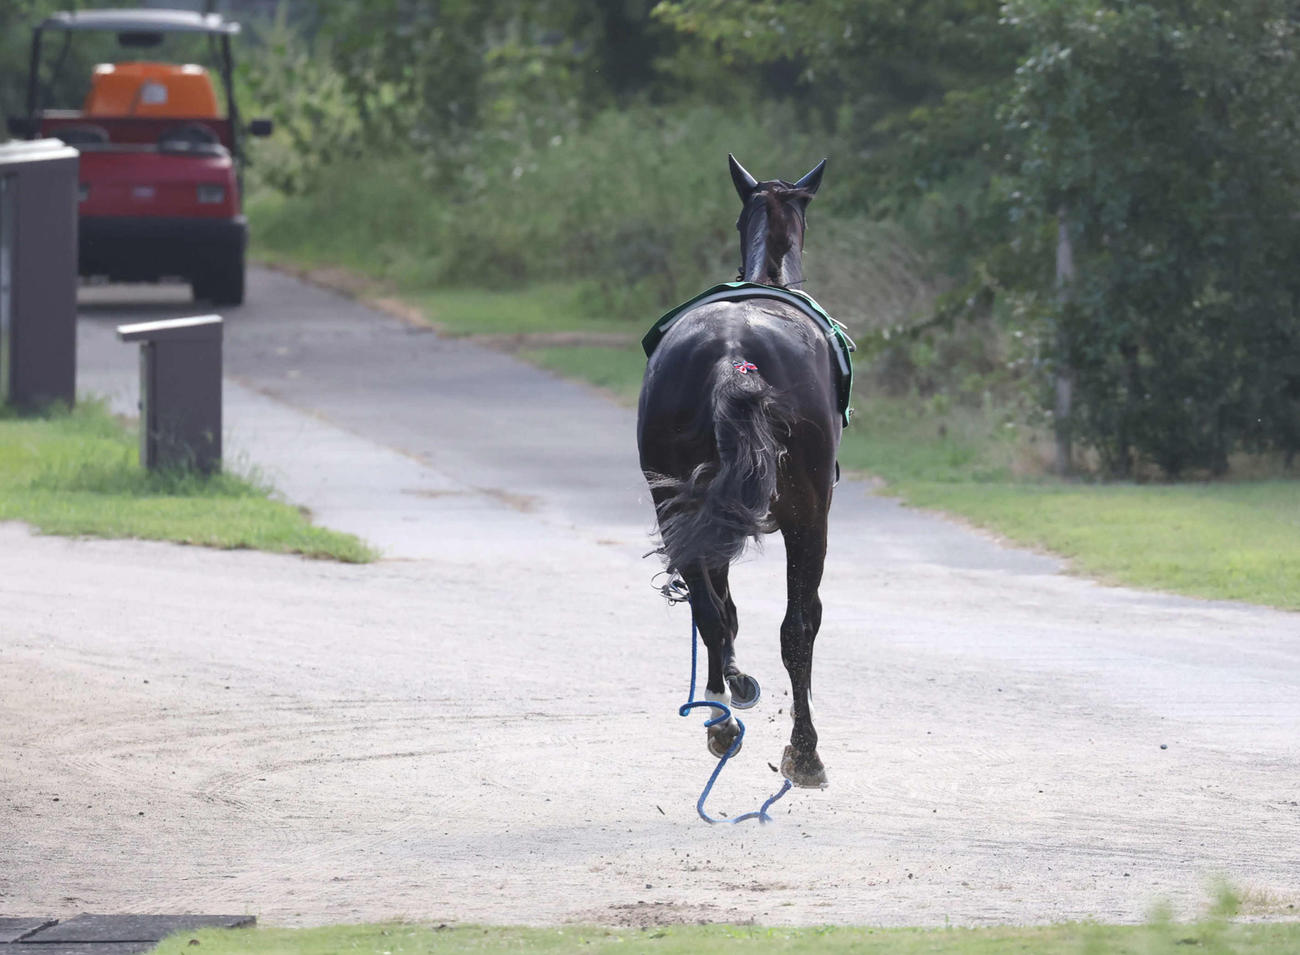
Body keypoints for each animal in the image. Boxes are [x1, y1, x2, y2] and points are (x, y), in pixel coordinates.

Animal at [637, 154, 841, 790]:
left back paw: (723, 716)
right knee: (796, 627)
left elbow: (720, 607)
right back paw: (804, 751)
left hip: (678, 504)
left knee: (710, 609)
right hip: (807, 517)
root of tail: (732, 356)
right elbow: (796, 621)